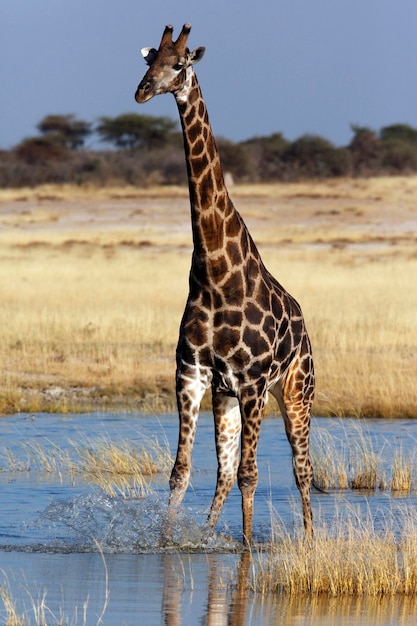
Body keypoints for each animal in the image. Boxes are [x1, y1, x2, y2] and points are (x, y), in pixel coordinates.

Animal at [135, 23, 314, 540]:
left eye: (179, 65)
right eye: (149, 61)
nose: (142, 91)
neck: (214, 274)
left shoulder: (253, 382)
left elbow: (251, 474)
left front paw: (248, 549)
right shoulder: (194, 374)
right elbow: (181, 471)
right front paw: (169, 542)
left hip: (296, 390)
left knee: (301, 469)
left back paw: (310, 539)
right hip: (227, 397)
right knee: (225, 469)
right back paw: (210, 534)